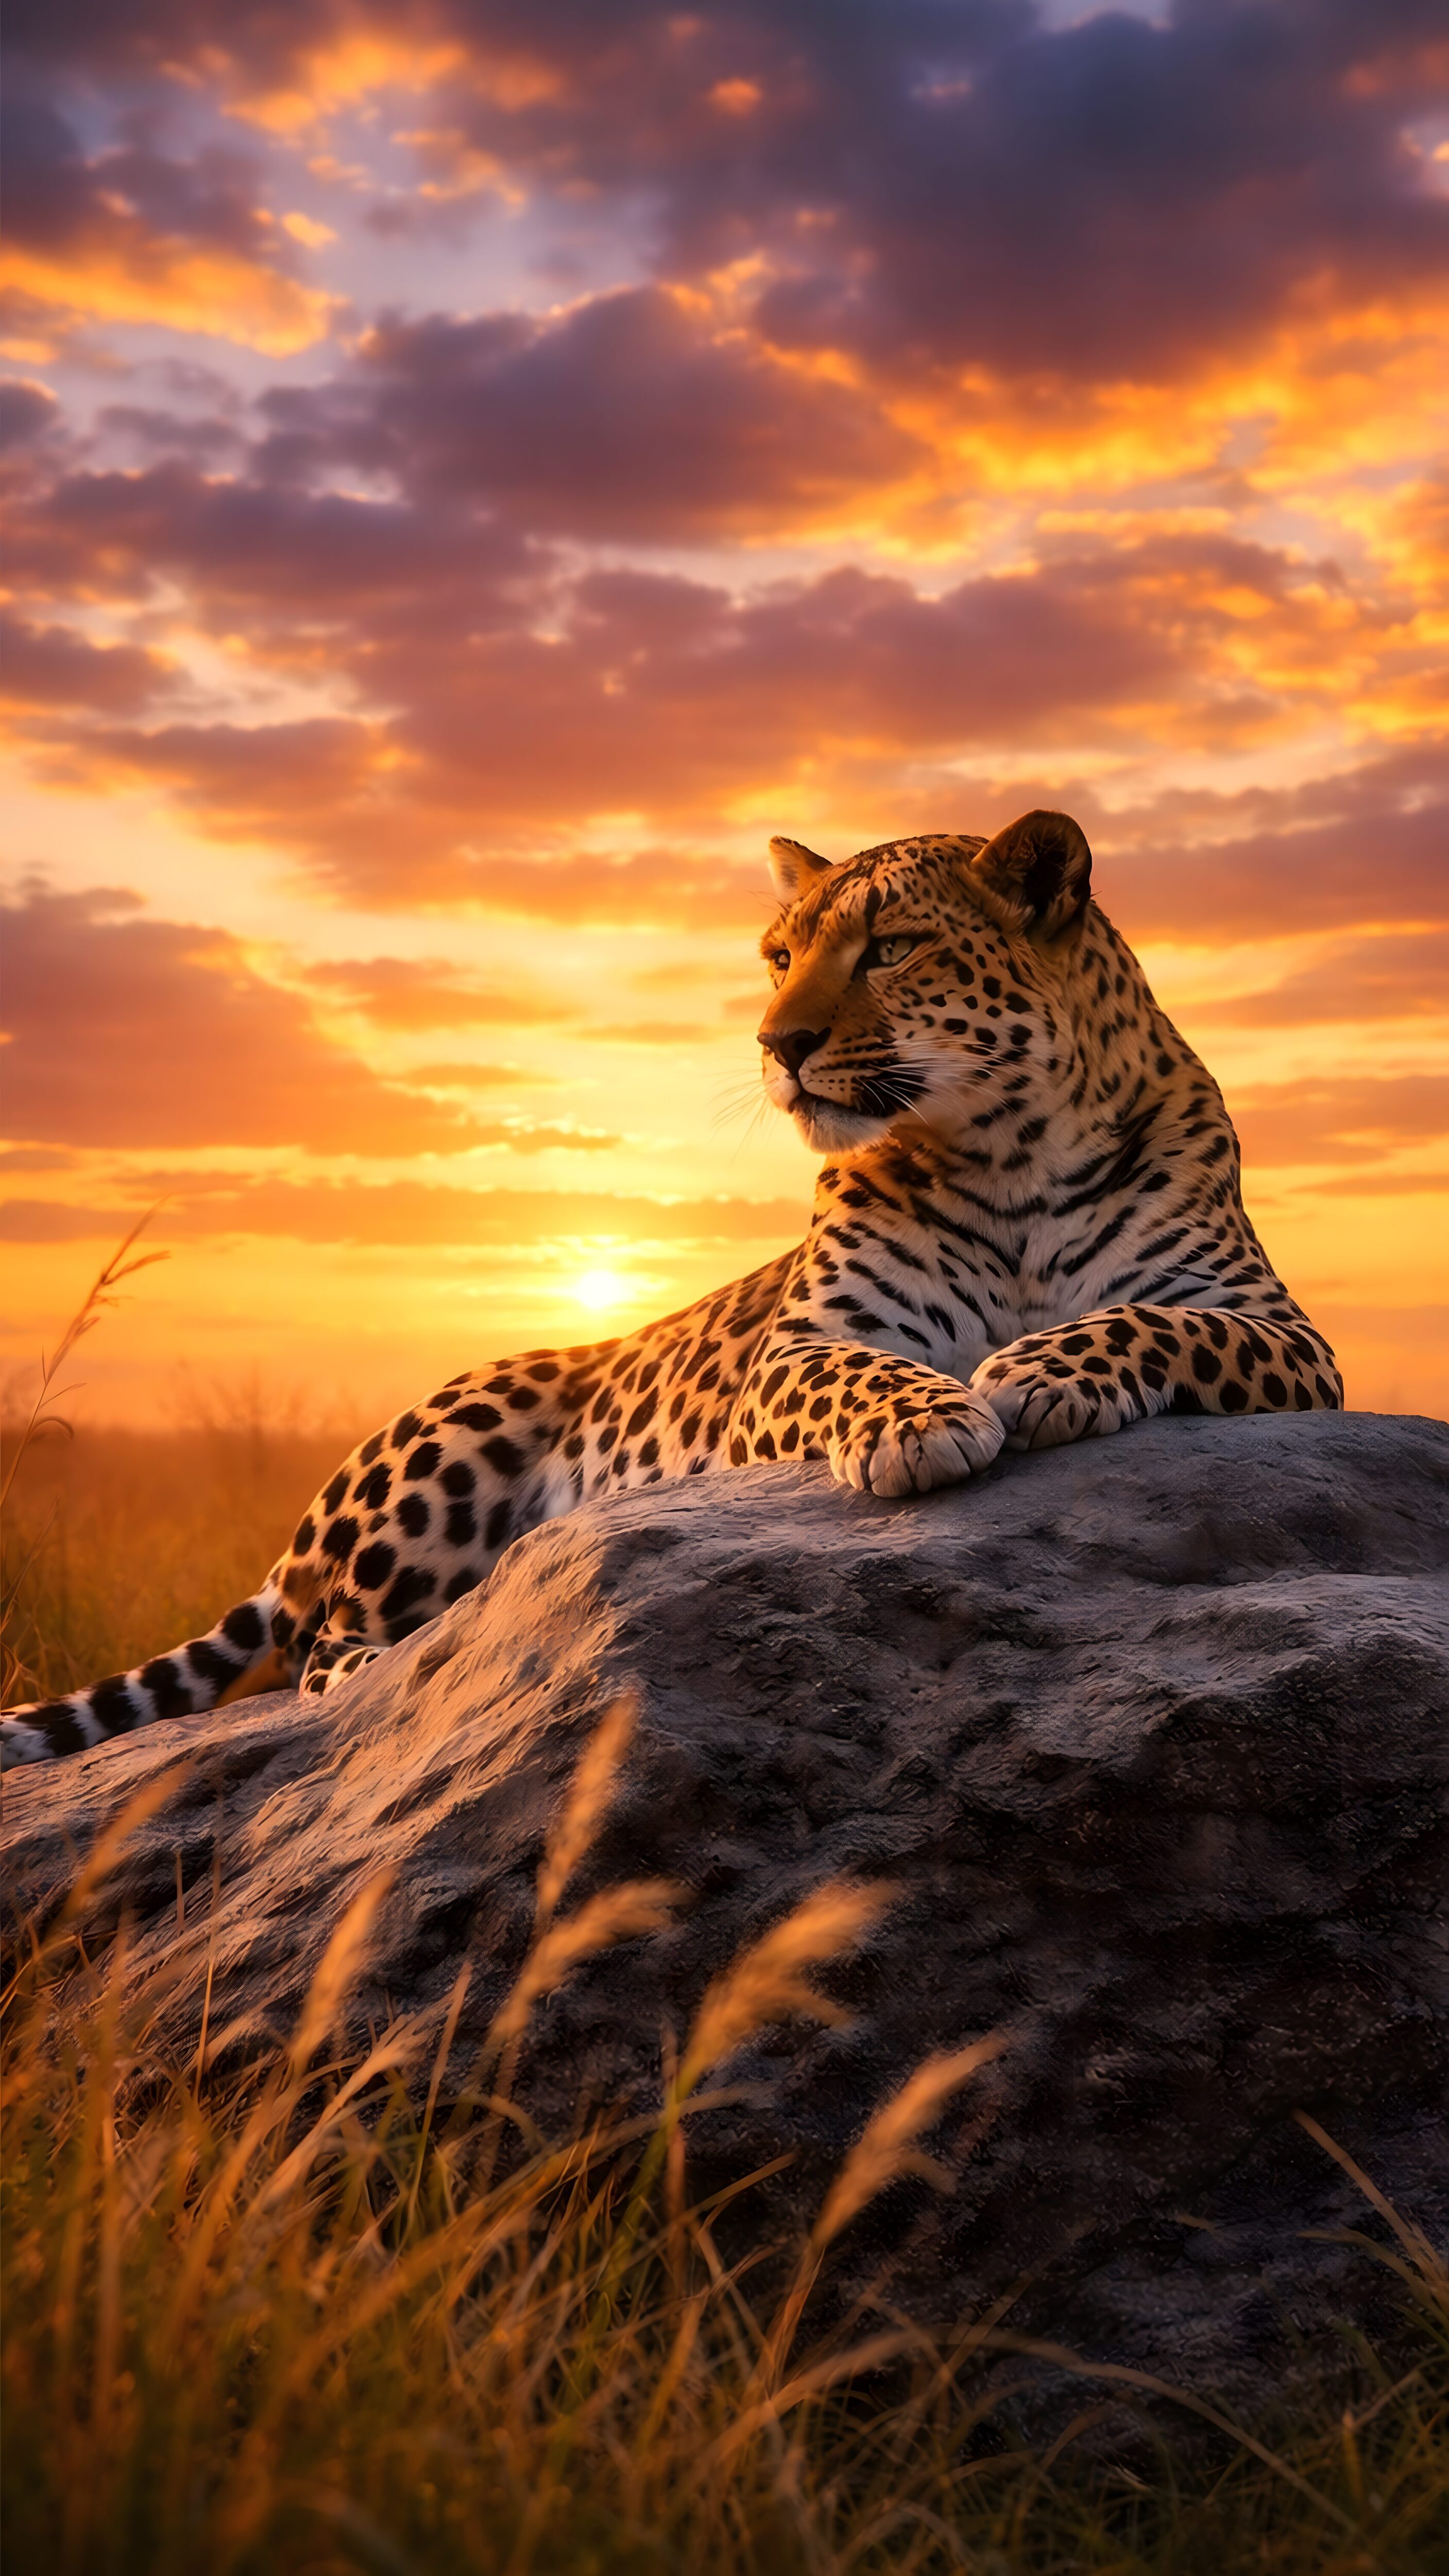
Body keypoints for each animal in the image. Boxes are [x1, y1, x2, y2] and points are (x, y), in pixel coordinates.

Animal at [1, 809, 1342, 1769]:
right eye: (778, 956)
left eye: (889, 947)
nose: (775, 1043)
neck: (1006, 1148)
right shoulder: (798, 1350)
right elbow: (863, 1370)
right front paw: (926, 1419)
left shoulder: (1276, 1330)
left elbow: (1151, 1320)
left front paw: (1038, 1371)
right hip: (462, 1430)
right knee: (323, 1653)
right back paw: (412, 1651)